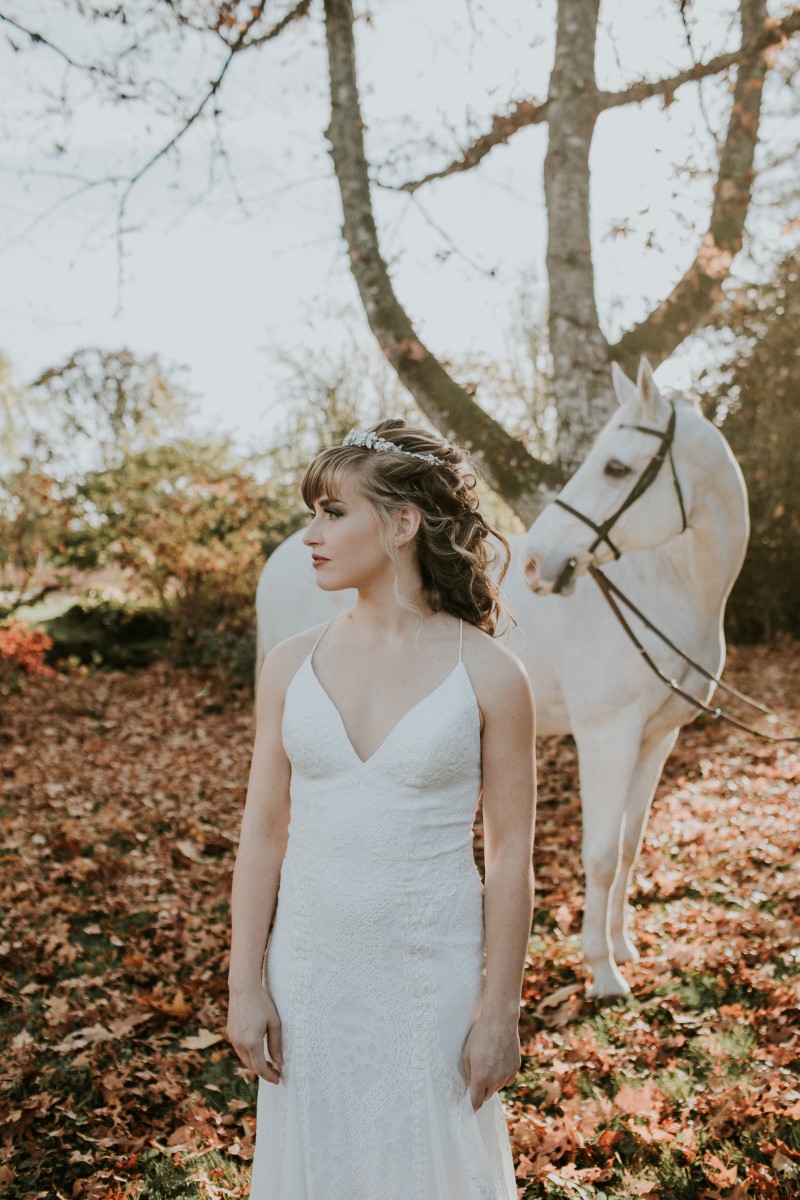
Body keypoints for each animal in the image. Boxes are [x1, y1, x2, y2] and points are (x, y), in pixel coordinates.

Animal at [256, 360, 753, 998]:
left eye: (616, 467)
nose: (540, 563)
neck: (661, 590)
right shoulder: (607, 735)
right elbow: (600, 854)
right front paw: (602, 970)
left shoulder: (656, 737)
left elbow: (628, 844)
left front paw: (622, 945)